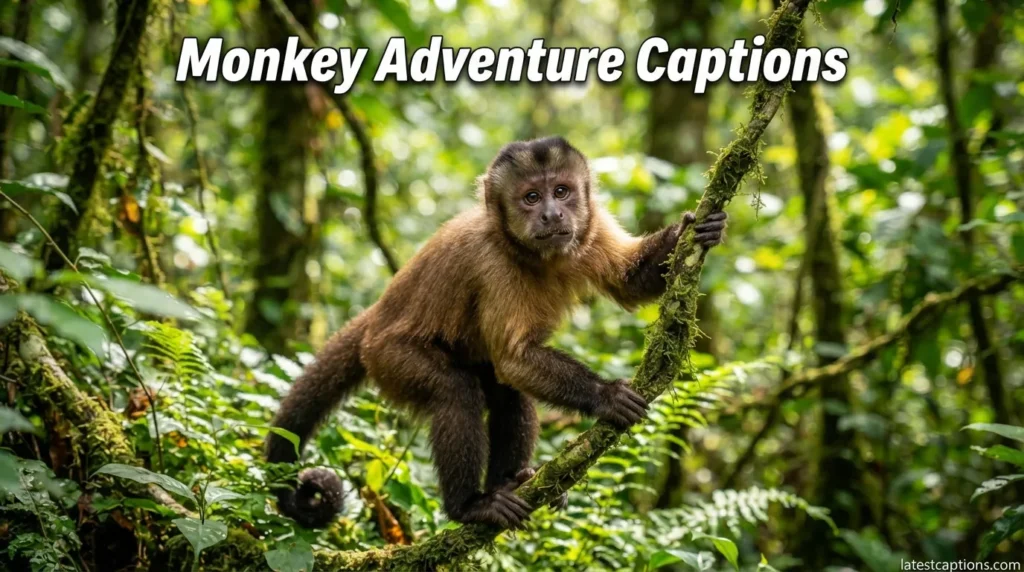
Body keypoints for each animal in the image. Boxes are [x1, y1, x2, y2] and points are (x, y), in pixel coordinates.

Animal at [265, 136, 727, 530]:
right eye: (531, 197)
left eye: (562, 191)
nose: (551, 214)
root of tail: (376, 315)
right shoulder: (493, 264)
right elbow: (514, 358)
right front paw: (606, 396)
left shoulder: (590, 227)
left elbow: (628, 282)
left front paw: (693, 229)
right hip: (389, 356)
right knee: (456, 389)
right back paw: (471, 506)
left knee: (507, 393)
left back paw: (510, 480)